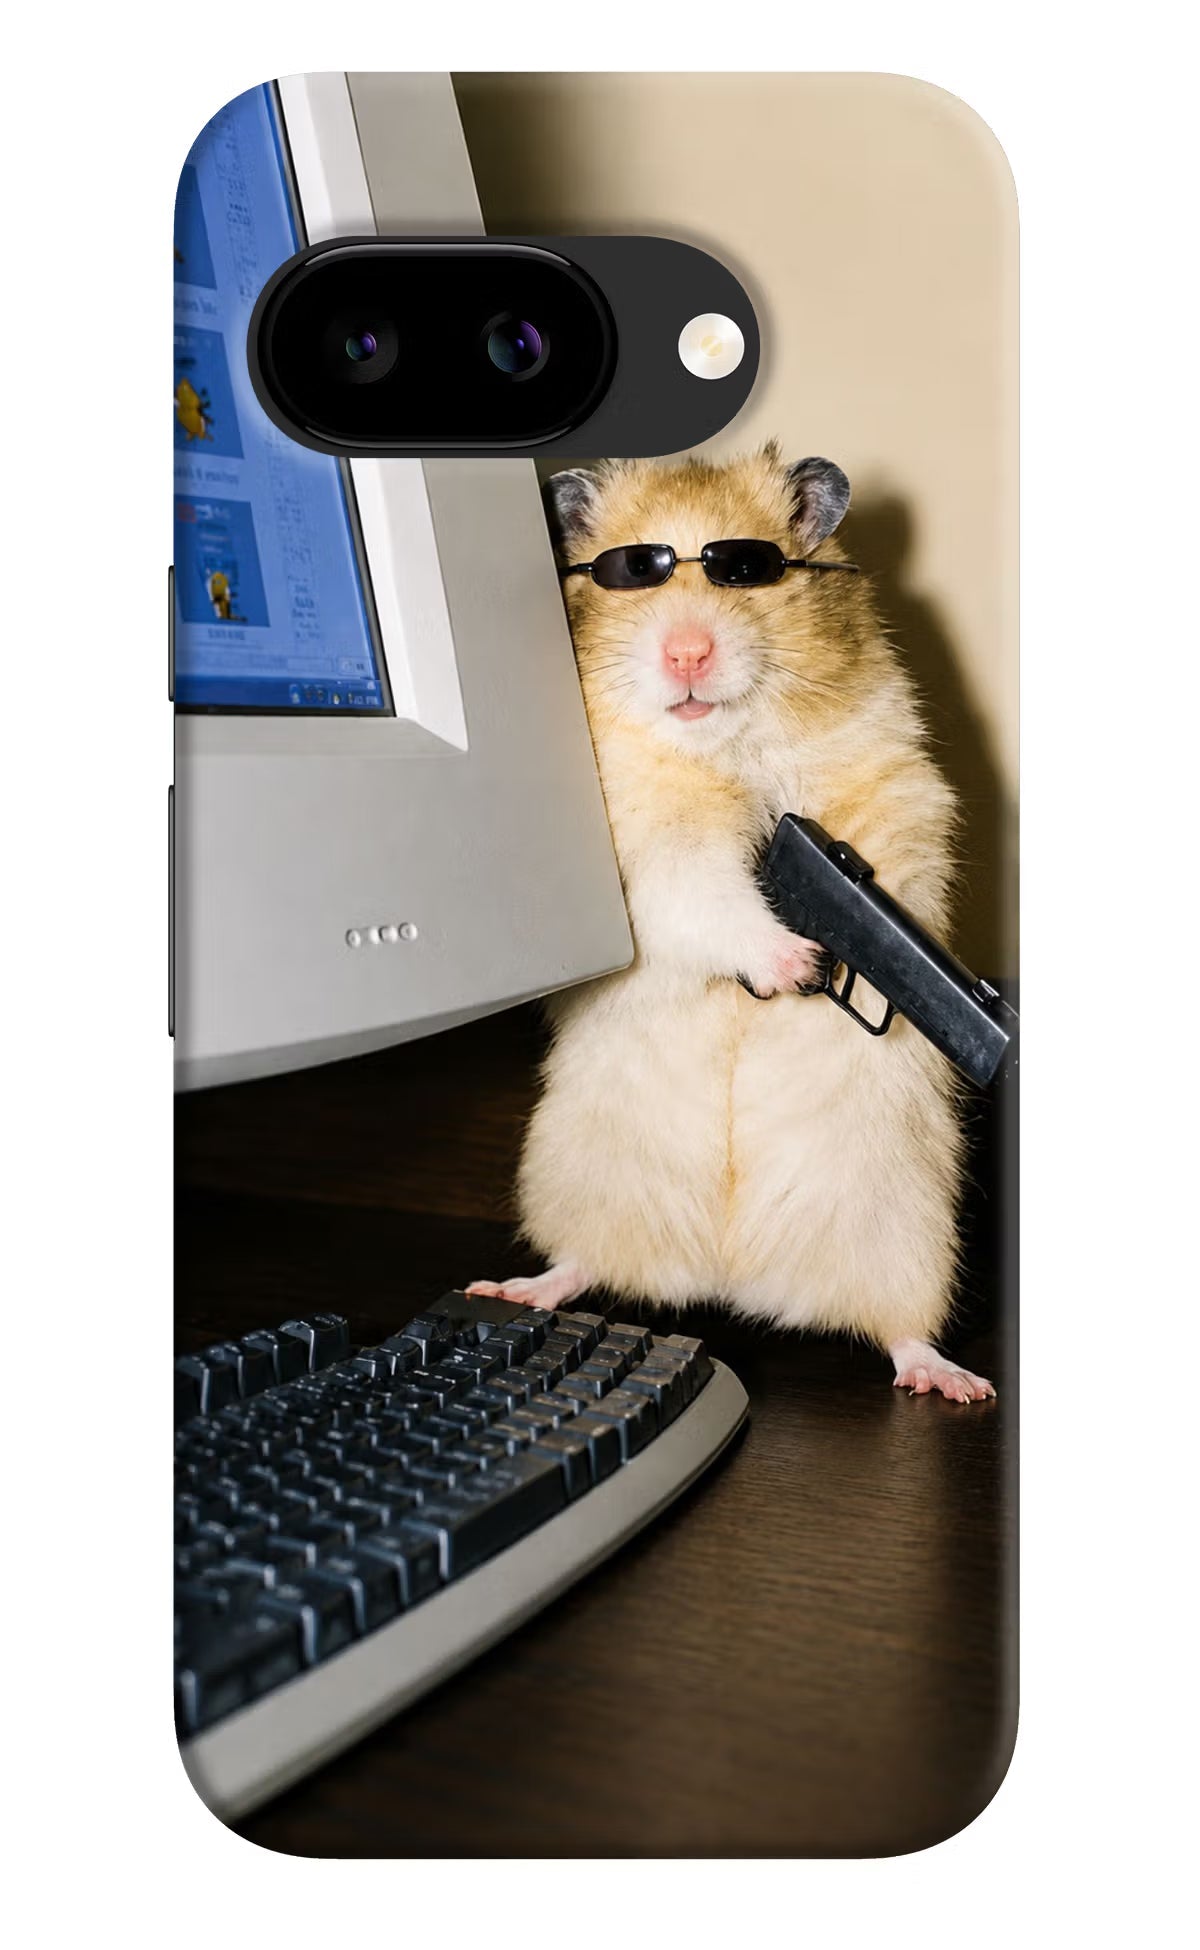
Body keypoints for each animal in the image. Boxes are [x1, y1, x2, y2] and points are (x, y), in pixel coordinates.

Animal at [468, 445, 993, 1402]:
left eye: (746, 570)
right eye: (633, 572)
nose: (687, 652)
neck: (724, 745)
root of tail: (730, 1277)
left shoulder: (894, 789)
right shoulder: (649, 850)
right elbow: (707, 895)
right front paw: (797, 963)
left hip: (908, 1229)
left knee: (900, 1329)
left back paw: (954, 1382)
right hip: (578, 1176)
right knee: (582, 1263)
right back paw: (514, 1288)